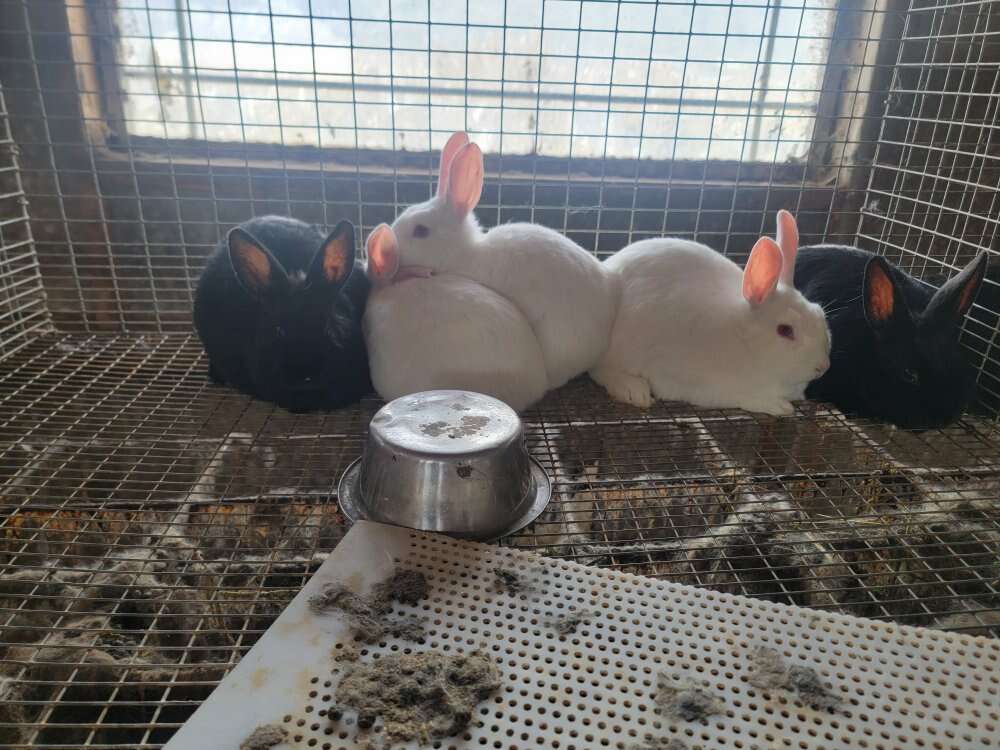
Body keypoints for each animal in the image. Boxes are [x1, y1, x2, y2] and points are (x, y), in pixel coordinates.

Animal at [591, 210, 831, 416]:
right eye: (785, 330)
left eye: (820, 314)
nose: (822, 367)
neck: (741, 338)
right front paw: (779, 406)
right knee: (600, 370)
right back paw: (634, 390)